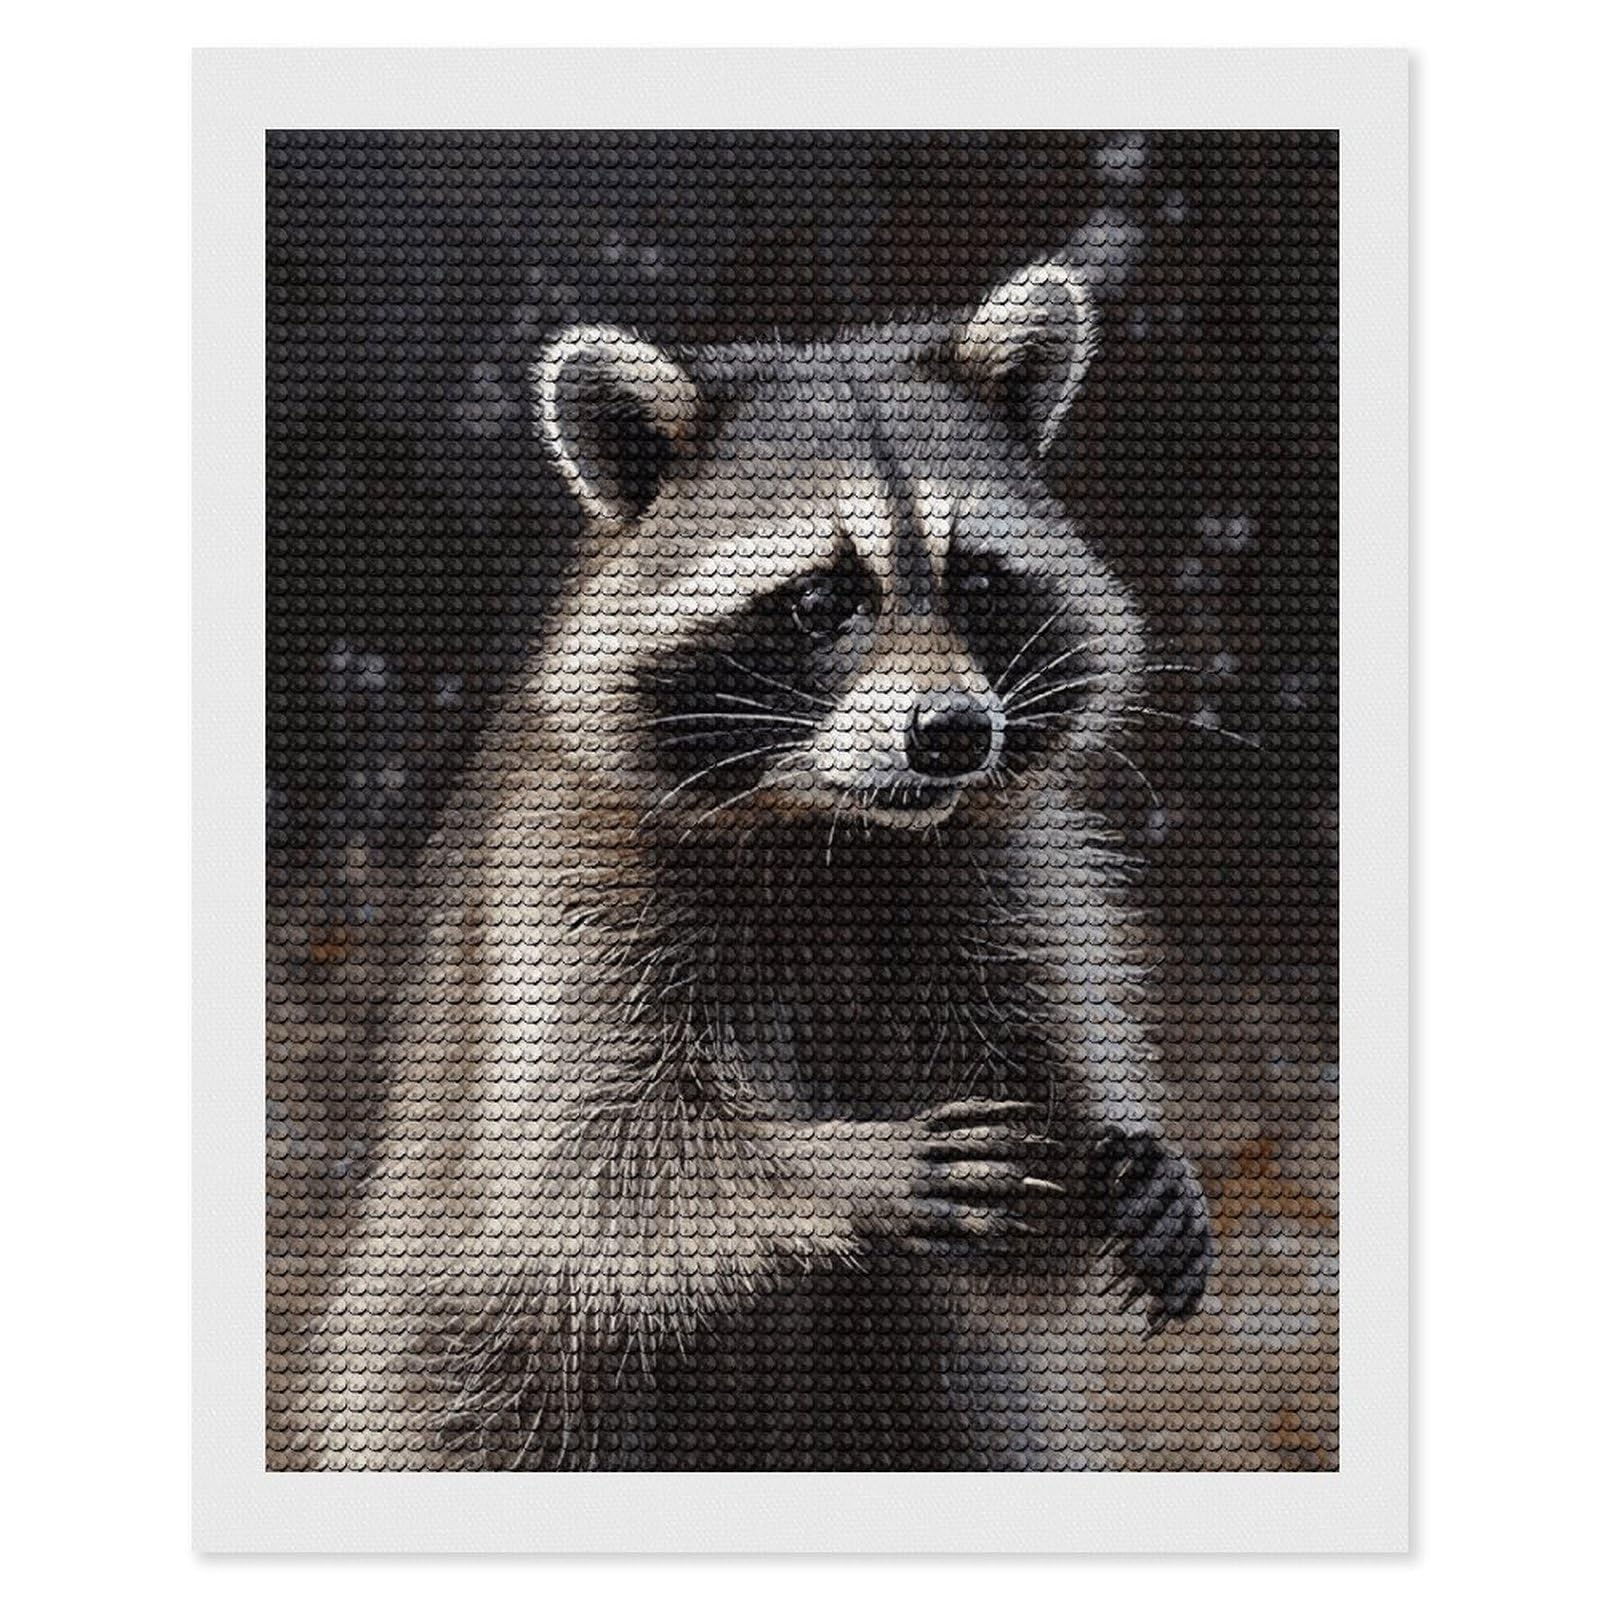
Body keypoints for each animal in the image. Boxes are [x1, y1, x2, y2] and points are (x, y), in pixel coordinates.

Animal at [287, 259, 1213, 1472]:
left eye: (974, 582)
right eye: (823, 600)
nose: (953, 733)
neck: (837, 835)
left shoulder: (1000, 877)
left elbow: (1028, 1198)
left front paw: (1121, 1166)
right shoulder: (568, 881)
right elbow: (584, 1163)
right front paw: (842, 1165)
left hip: (931, 1398)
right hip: (463, 1375)